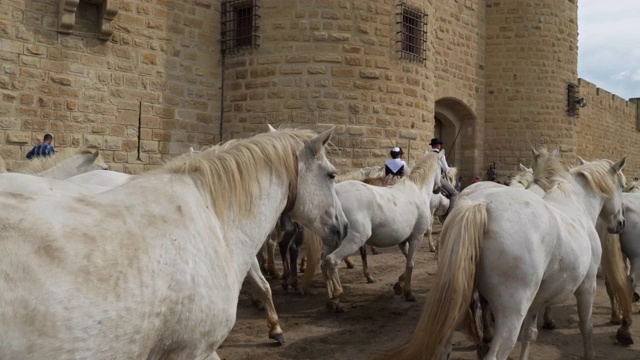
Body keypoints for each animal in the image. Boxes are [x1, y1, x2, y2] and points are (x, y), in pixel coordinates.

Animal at [0, 128, 348, 358]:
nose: (343, 228)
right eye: (332, 175)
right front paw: (275, 328)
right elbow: (263, 285)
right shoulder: (192, 349)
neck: (211, 214)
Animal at [322, 150, 442, 310]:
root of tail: (336, 194)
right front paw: (408, 293)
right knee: (332, 261)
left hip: (332, 241)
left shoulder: (403, 241)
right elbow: (410, 263)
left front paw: (399, 285)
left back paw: (330, 298)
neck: (417, 190)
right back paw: (336, 296)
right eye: (442, 168)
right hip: (354, 240)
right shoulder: (417, 236)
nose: (438, 189)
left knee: (323, 263)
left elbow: (407, 260)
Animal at [388, 155, 628, 360]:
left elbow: (530, 334)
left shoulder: (537, 300)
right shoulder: (587, 286)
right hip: (511, 314)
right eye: (622, 186)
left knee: (445, 347)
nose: (621, 223)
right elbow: (586, 327)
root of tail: (481, 206)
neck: (575, 206)